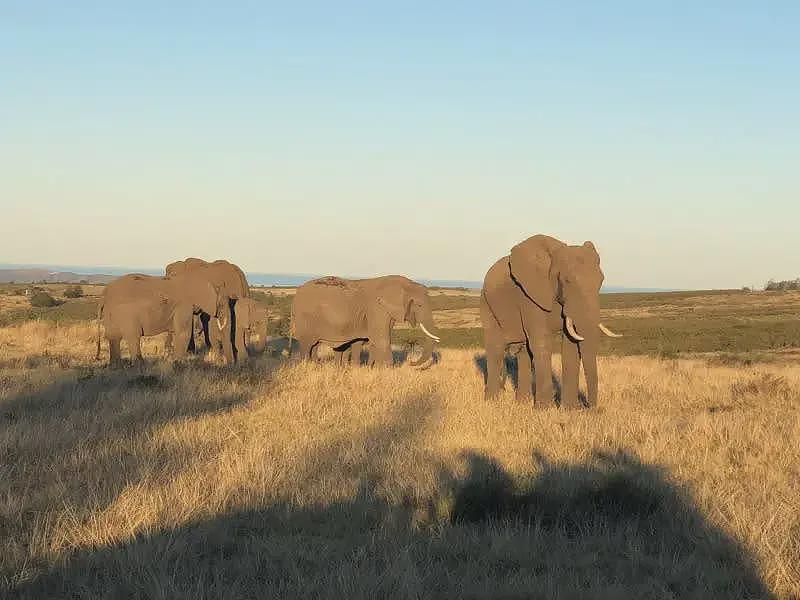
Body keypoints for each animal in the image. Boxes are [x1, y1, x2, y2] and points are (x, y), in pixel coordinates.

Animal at [96, 273, 225, 367]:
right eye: (221, 304)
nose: (218, 357)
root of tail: (104, 294)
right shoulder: (183, 306)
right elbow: (183, 333)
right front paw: (180, 364)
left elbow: (175, 332)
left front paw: (171, 359)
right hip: (126, 313)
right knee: (133, 336)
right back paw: (140, 365)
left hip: (110, 312)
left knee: (114, 336)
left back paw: (116, 366)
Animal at [292, 275, 441, 367]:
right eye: (419, 305)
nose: (410, 363)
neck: (405, 284)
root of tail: (297, 291)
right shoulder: (377, 309)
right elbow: (381, 340)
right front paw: (387, 371)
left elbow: (374, 341)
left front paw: (371, 368)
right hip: (305, 318)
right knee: (307, 345)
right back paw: (307, 367)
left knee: (314, 346)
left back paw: (316, 366)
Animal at [480, 234, 622, 408]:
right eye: (567, 281)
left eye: (601, 281)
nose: (592, 408)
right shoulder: (529, 296)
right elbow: (541, 343)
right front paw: (544, 409)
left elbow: (569, 346)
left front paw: (570, 410)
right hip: (486, 303)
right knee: (496, 349)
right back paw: (491, 402)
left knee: (524, 353)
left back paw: (522, 403)